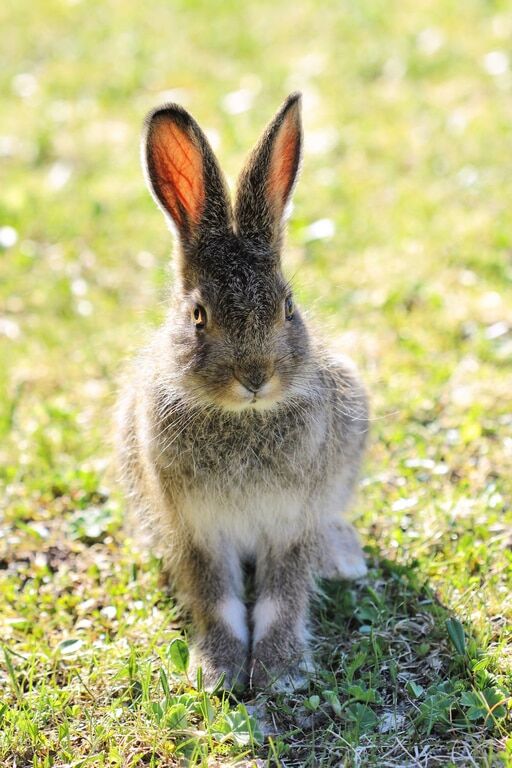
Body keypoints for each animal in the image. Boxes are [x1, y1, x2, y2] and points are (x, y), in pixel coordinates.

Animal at [116, 91, 368, 688]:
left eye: (288, 307)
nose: (255, 376)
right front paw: (218, 669)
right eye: (198, 315)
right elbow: (216, 595)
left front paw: (280, 668)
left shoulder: (294, 519)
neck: (242, 417)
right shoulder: (197, 528)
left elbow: (284, 593)